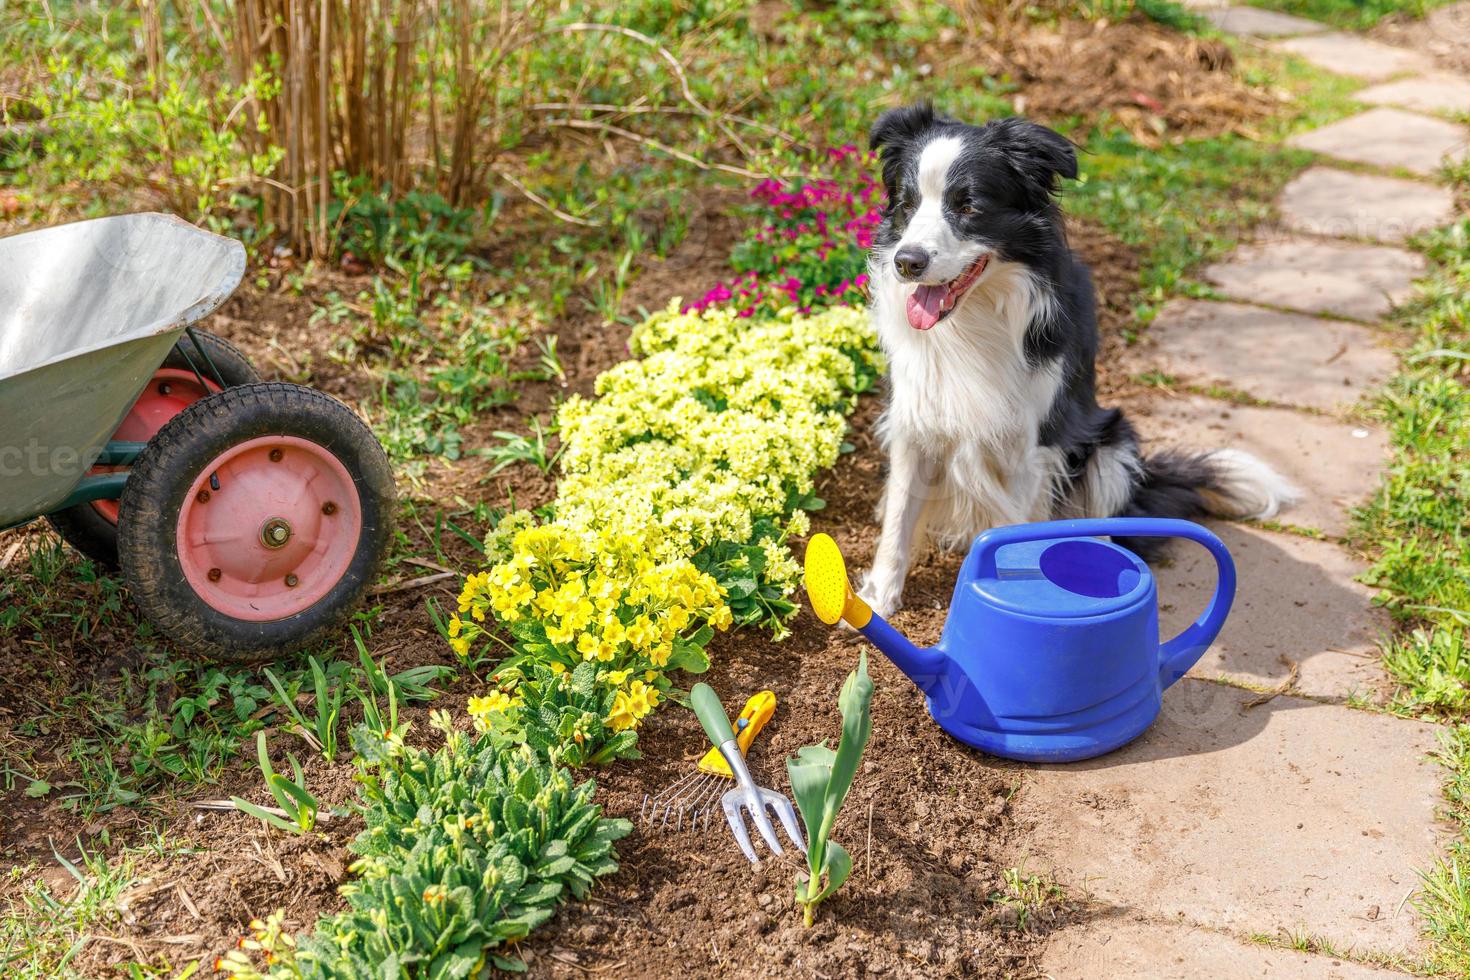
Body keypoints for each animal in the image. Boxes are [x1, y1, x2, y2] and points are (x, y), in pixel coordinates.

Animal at [858, 105, 1299, 614]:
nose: (906, 262)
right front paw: (877, 601)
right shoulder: (915, 421)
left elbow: (1013, 531)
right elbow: (898, 517)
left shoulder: (1032, 442)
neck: (973, 318)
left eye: (968, 206)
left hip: (1112, 443)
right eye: (907, 204)